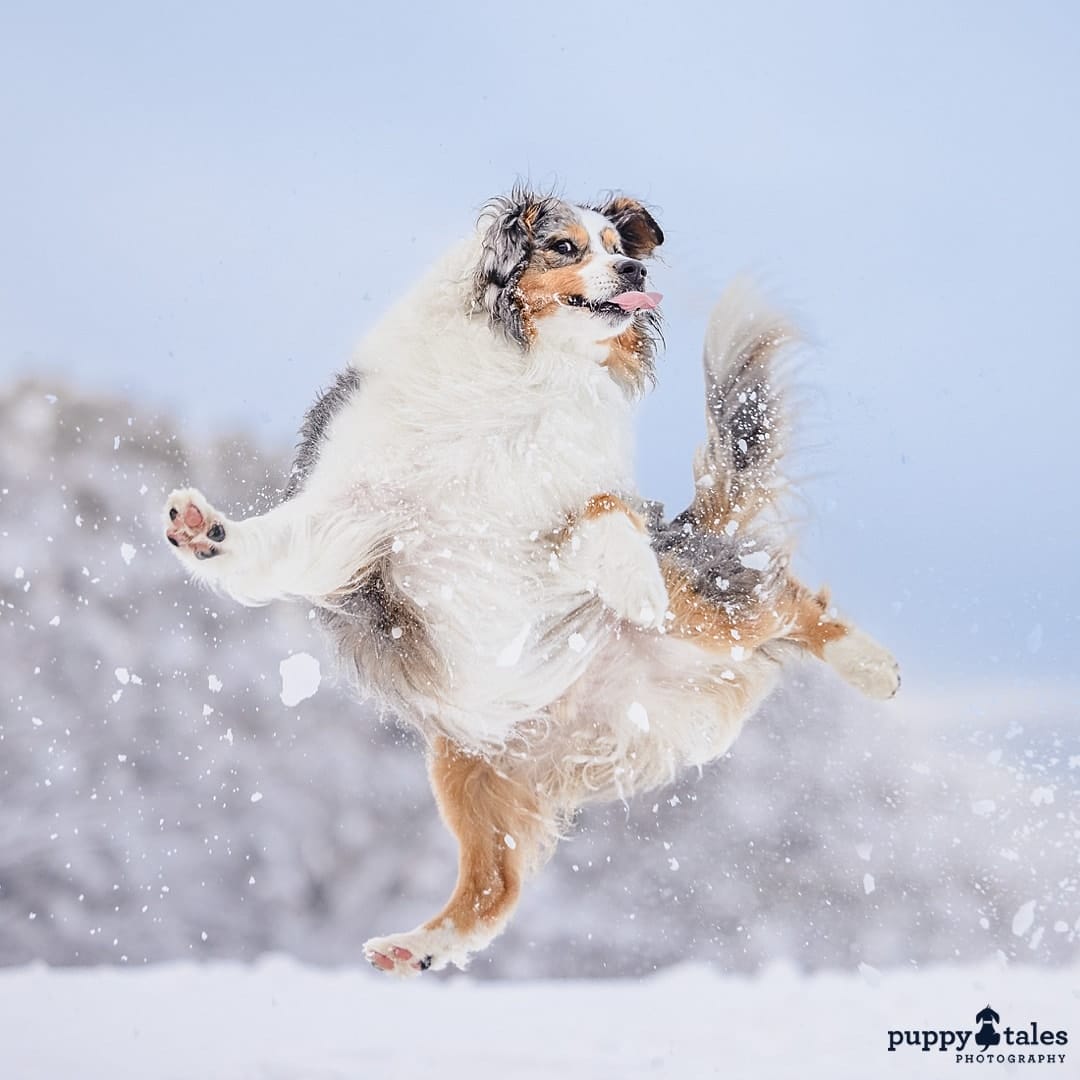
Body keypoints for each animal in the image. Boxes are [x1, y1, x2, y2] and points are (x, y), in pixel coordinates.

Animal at [162, 187, 902, 980]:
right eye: (565, 246)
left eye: (618, 244)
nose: (636, 267)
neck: (523, 370)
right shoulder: (351, 514)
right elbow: (277, 545)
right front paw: (202, 530)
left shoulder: (559, 512)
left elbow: (598, 514)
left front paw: (630, 578)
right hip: (467, 763)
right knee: (494, 887)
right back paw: (415, 946)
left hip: (701, 616)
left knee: (787, 600)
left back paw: (873, 667)